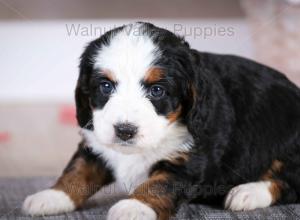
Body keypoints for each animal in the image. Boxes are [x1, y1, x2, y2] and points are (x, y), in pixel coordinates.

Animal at [22, 22, 300, 220]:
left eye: (157, 91)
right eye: (105, 86)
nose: (124, 130)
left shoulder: (190, 160)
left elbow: (159, 185)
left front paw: (135, 207)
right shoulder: (96, 142)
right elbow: (78, 170)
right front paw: (52, 195)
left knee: (290, 183)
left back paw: (247, 192)